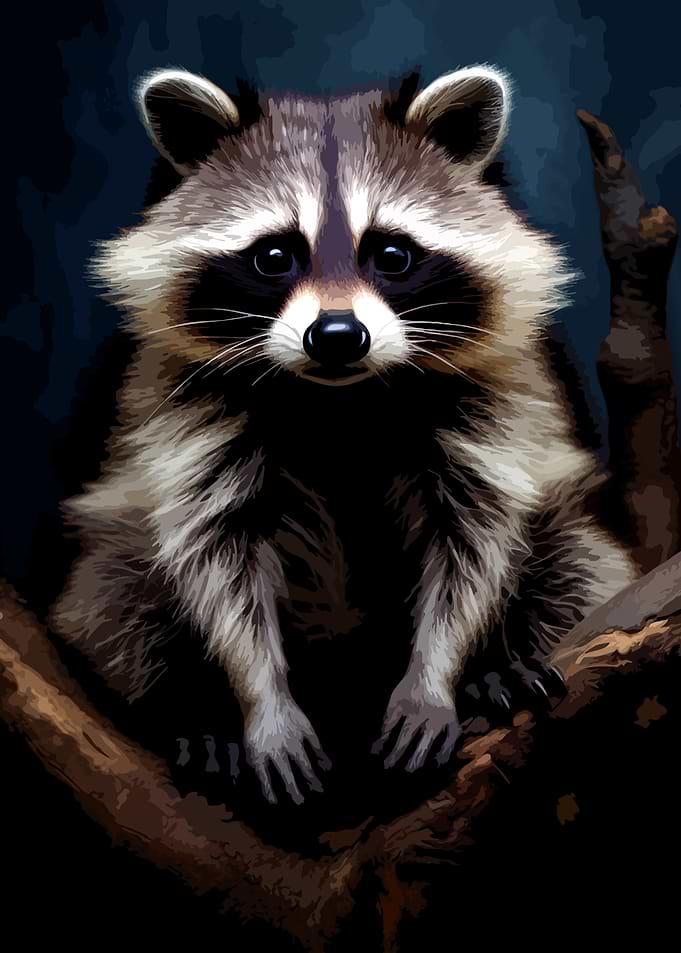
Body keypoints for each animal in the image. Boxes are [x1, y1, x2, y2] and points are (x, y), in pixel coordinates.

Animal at [52, 65, 638, 805]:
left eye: (391, 253)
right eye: (275, 255)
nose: (336, 335)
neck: (339, 398)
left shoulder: (495, 395)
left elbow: (474, 542)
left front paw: (438, 676)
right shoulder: (184, 409)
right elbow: (216, 555)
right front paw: (259, 702)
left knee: (575, 562)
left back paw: (500, 667)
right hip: (114, 551)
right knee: (117, 594)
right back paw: (192, 712)